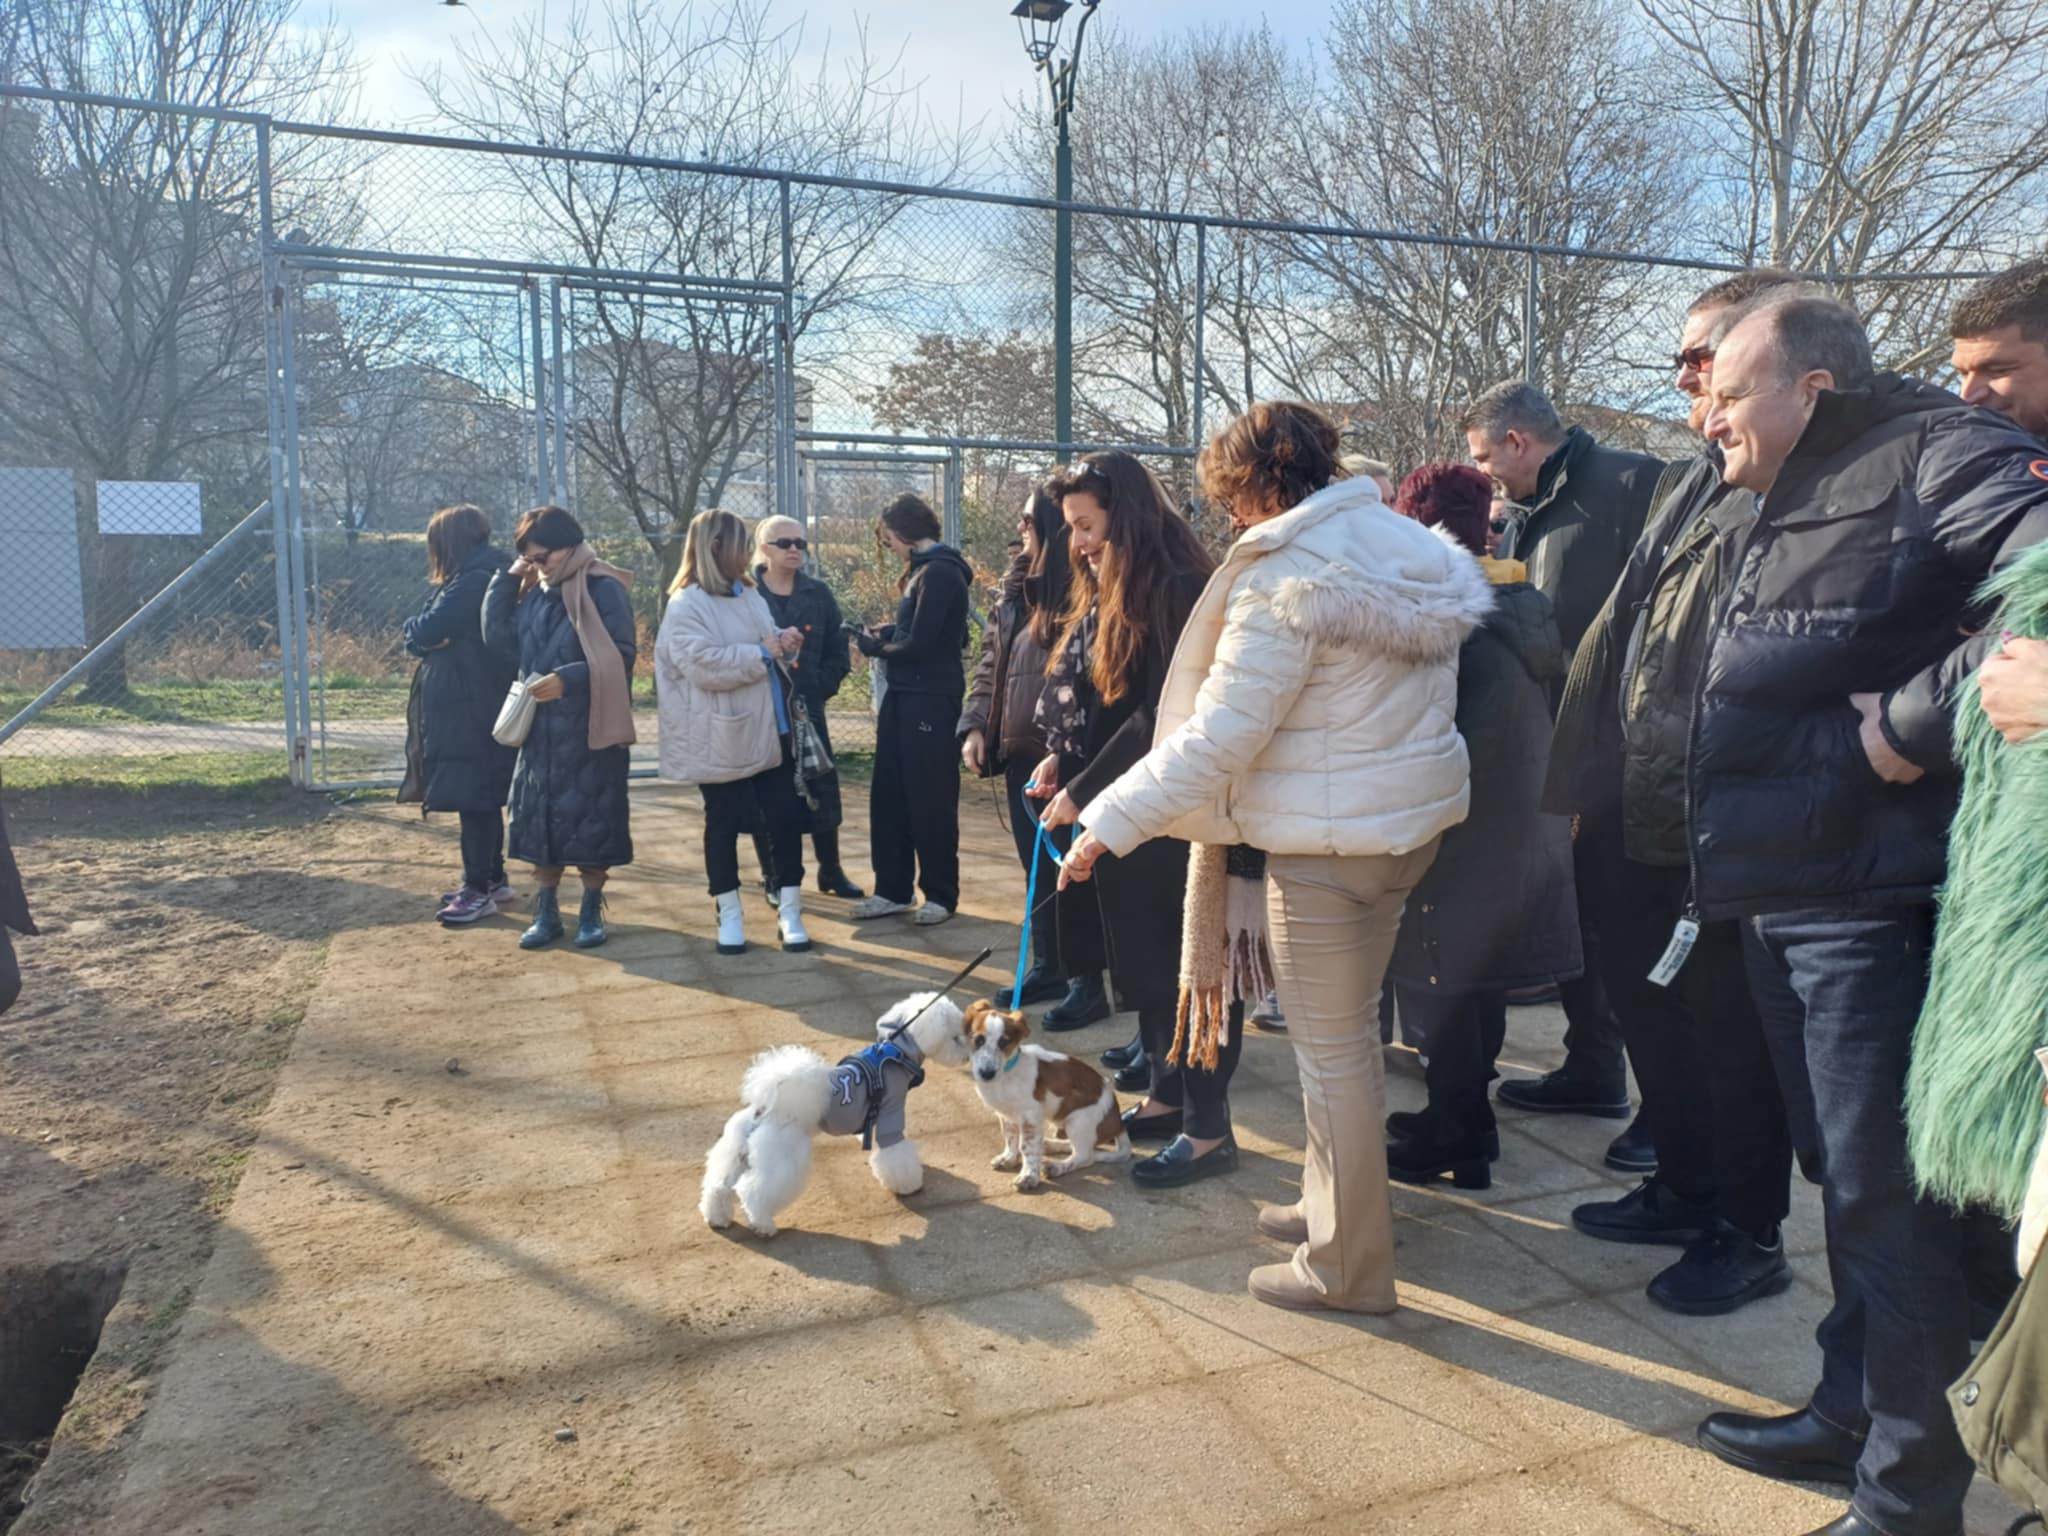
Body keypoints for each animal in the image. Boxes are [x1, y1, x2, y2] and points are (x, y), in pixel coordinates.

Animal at [696, 999, 966, 1236]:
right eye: (955, 1037)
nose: (966, 1053)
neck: (896, 1052)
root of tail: (763, 1109)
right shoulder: (890, 1113)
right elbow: (896, 1154)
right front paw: (908, 1185)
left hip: (735, 1153)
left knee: (718, 1186)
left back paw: (717, 1218)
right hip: (781, 1160)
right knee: (753, 1191)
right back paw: (764, 1226)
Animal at [962, 999, 1138, 1187]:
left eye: (1003, 1042)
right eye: (978, 1040)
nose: (987, 1074)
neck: (1007, 1073)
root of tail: (1119, 1122)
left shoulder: (1030, 1117)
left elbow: (1027, 1147)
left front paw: (1028, 1176)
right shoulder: (1006, 1115)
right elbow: (1010, 1137)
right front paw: (1008, 1158)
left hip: (1078, 1120)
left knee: (1085, 1156)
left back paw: (1057, 1166)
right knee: (1081, 1147)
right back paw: (1050, 1145)